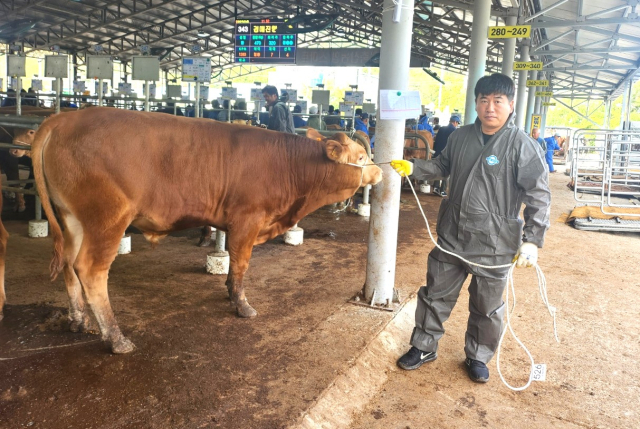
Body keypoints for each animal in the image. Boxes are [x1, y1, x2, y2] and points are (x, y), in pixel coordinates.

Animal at [31, 108, 380, 352]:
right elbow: (240, 263)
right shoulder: (247, 220)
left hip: (71, 218)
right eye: (362, 156)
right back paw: (115, 337)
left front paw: (228, 292)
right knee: (90, 271)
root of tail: (62, 120)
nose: (379, 172)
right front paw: (241, 304)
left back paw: (79, 320)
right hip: (107, 219)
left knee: (68, 265)